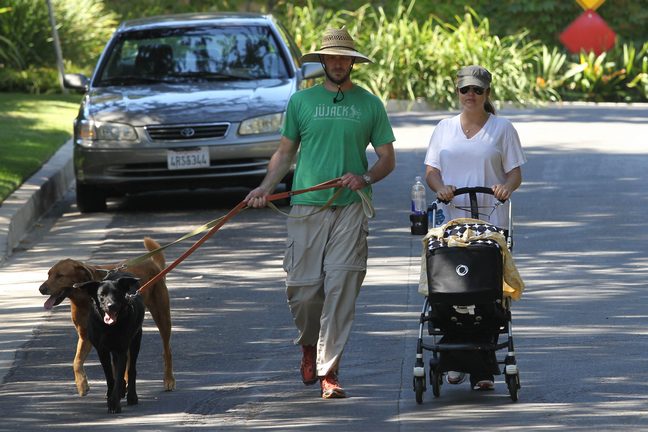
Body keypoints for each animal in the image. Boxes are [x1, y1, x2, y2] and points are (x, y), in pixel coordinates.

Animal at [38, 238, 175, 396]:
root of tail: (151, 263)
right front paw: (82, 384)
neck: (84, 298)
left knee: (167, 350)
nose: (41, 289)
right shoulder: (86, 335)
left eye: (60, 275)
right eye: (48, 274)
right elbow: (76, 361)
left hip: (162, 316)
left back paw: (168, 379)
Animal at [74, 272, 144, 414]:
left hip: (136, 340)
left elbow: (119, 375)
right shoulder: (102, 351)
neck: (109, 327)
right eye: (102, 295)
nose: (111, 305)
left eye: (117, 293)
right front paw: (111, 397)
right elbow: (110, 377)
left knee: (131, 369)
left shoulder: (122, 350)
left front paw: (114, 404)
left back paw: (132, 396)